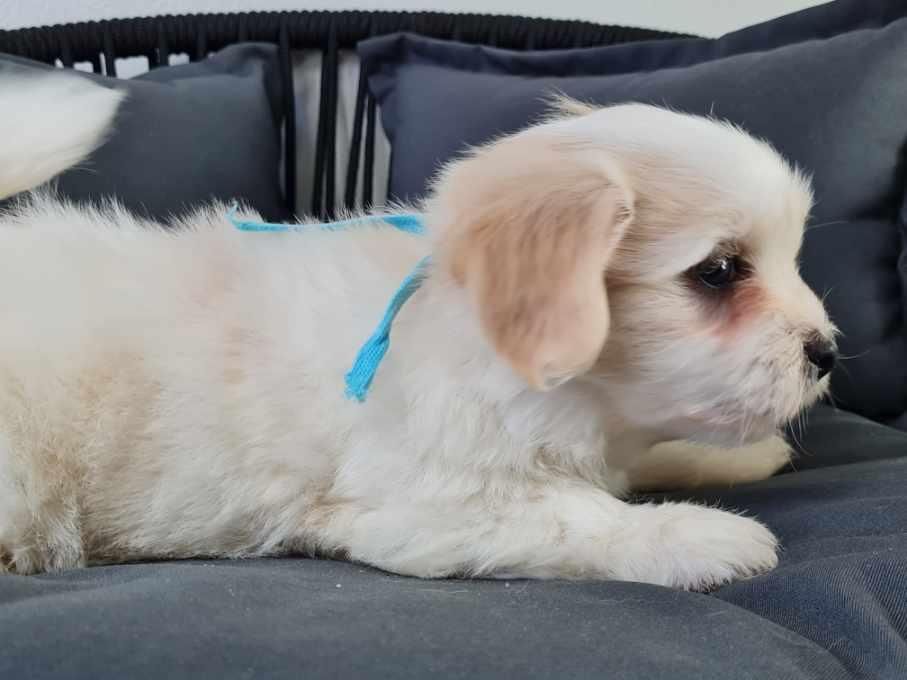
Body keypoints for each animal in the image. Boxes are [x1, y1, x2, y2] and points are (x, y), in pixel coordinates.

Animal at [0, 73, 836, 590]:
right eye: (719, 271)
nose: (826, 352)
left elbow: (645, 459)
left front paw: (742, 456)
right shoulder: (431, 504)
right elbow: (582, 515)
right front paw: (703, 537)